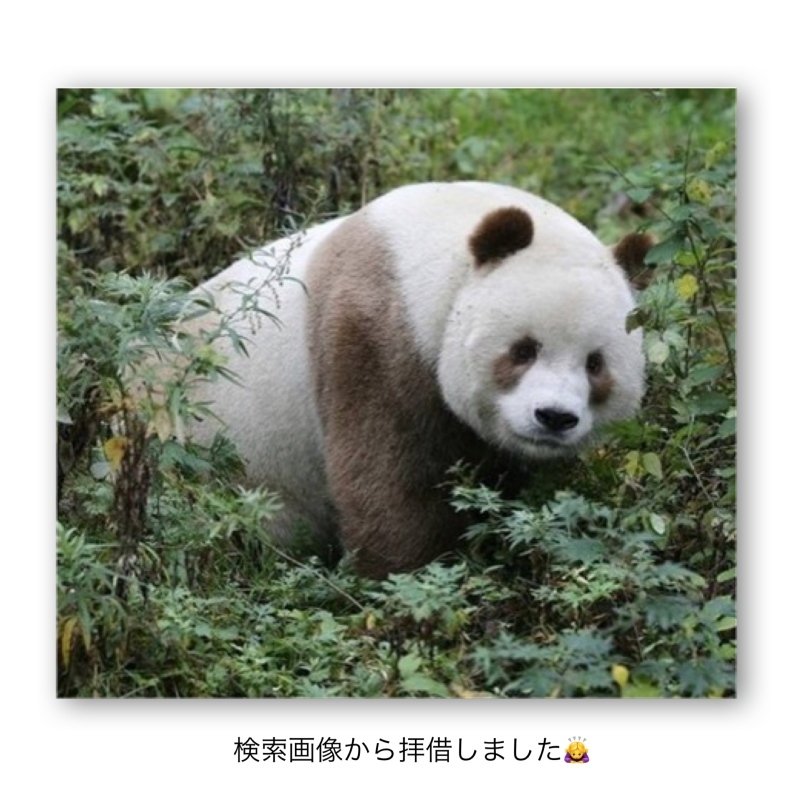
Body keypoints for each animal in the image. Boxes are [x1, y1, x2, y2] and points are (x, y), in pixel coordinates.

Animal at [183, 182, 653, 578]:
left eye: (595, 364)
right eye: (523, 350)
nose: (554, 417)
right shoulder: (376, 337)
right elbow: (388, 479)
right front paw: (406, 575)